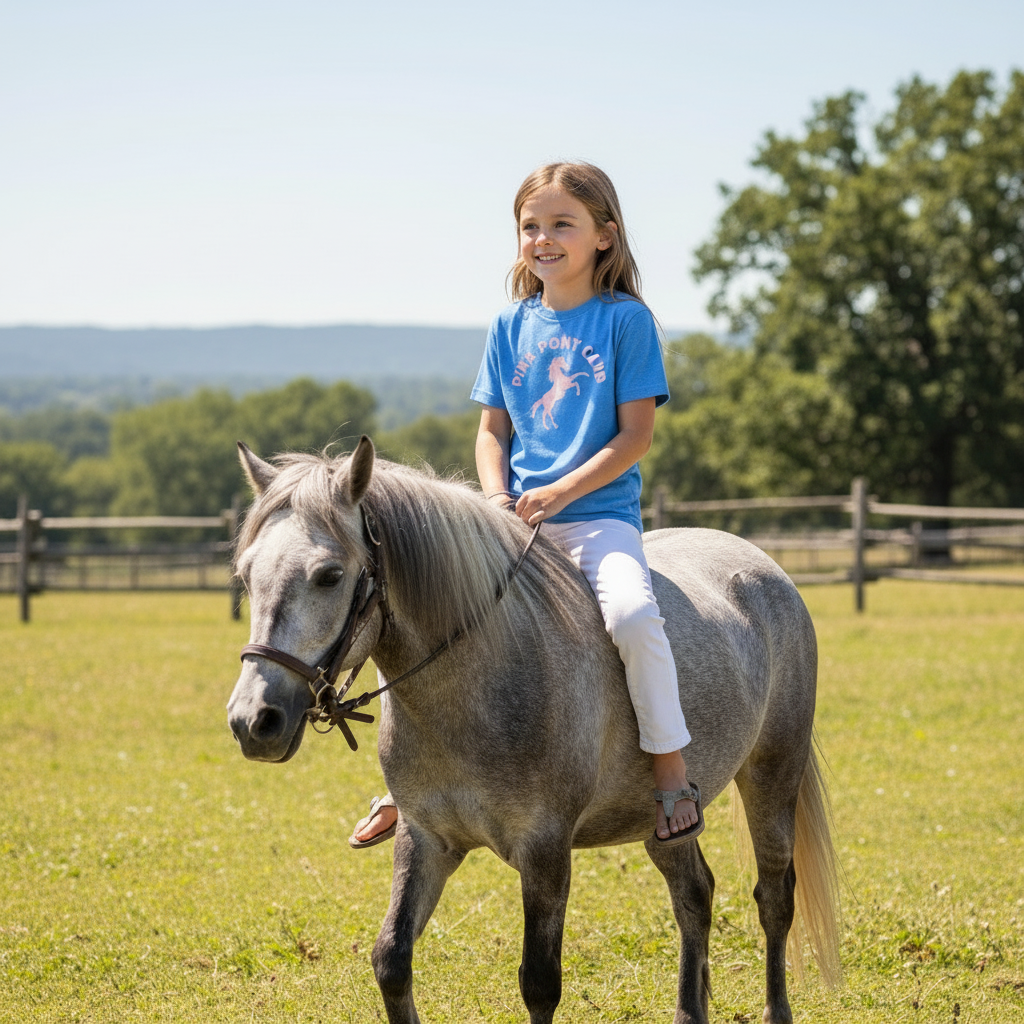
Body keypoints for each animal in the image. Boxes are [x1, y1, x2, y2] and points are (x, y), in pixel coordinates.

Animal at [226, 437, 840, 1024]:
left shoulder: (545, 849)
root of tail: (765, 568)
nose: (253, 722)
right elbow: (391, 961)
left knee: (774, 897)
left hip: (772, 776)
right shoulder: (425, 838)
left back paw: (777, 1009)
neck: (474, 683)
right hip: (662, 820)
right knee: (694, 895)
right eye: (246, 575)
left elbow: (540, 983)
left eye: (329, 575)